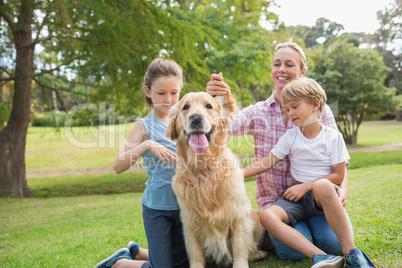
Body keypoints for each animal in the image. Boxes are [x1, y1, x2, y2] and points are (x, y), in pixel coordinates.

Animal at [165, 91, 268, 266]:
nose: (196, 118)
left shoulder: (237, 215)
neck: (204, 167)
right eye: (185, 107)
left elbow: (240, 248)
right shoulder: (189, 222)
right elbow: (195, 254)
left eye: (208, 106)